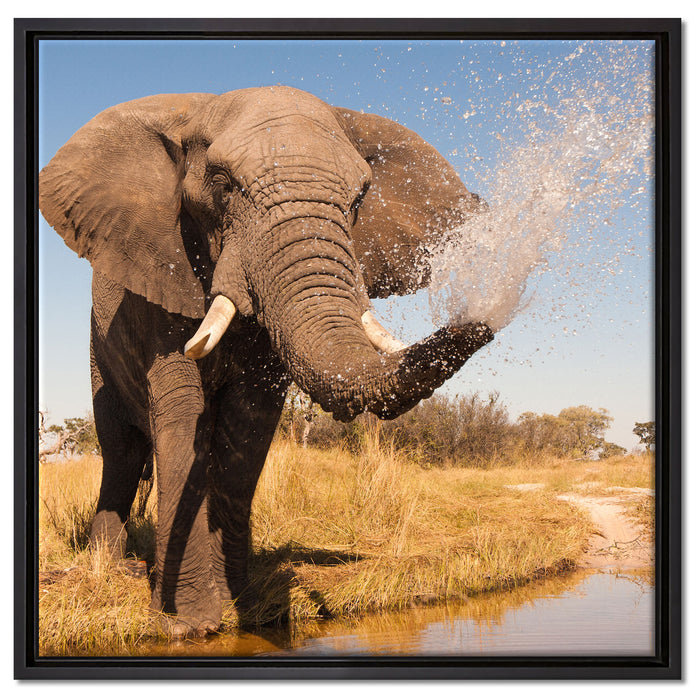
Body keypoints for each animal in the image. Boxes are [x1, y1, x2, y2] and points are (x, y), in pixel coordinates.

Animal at [39, 85, 493, 637]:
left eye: (359, 199)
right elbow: (181, 412)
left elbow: (249, 423)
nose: (486, 316)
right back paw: (108, 566)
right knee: (121, 452)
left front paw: (245, 608)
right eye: (222, 184)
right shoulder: (161, 275)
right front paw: (186, 625)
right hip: (97, 352)